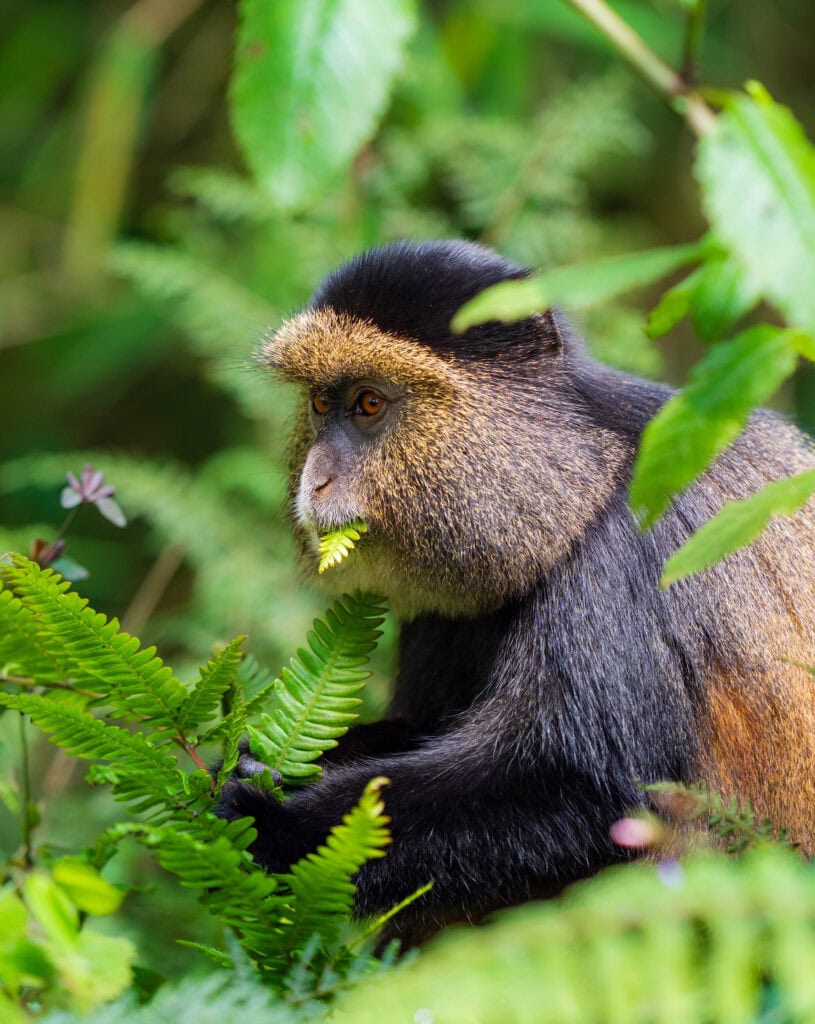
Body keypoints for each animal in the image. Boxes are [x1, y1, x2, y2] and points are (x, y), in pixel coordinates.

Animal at [218, 239, 815, 945]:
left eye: (368, 404)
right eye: (319, 404)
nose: (316, 480)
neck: (578, 480)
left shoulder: (627, 553)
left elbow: (585, 789)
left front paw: (276, 826)